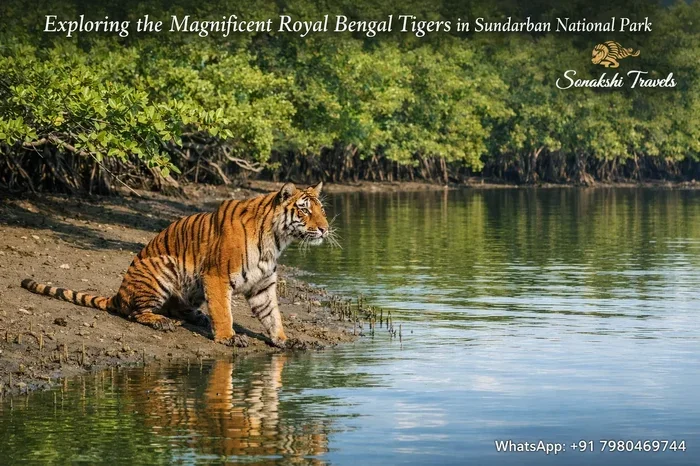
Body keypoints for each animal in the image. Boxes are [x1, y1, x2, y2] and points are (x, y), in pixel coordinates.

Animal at [21, 182, 333, 348]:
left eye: (322, 209)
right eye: (305, 209)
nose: (325, 229)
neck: (276, 240)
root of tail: (118, 293)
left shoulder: (262, 285)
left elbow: (272, 315)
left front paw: (284, 339)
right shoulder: (216, 276)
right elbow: (223, 311)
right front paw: (228, 337)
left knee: (174, 306)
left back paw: (195, 317)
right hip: (162, 268)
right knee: (134, 312)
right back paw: (161, 322)